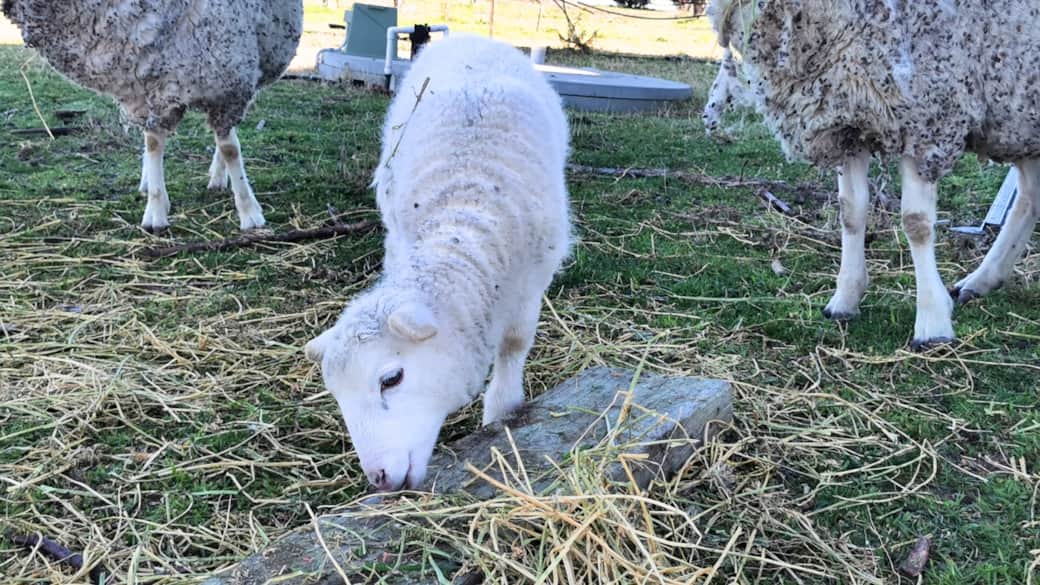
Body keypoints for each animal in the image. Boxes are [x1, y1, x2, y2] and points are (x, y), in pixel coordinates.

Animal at [2, 0, 303, 232]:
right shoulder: (147, 89)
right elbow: (153, 145)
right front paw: (156, 212)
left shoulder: (226, 85)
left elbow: (230, 150)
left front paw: (249, 213)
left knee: (224, 140)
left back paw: (218, 178)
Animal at [304, 35, 572, 492]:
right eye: (337, 395)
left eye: (391, 379)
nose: (378, 477)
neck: (466, 208)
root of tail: (472, 37)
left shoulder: (534, 277)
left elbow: (515, 342)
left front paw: (501, 410)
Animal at [707, 0, 1040, 348]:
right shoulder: (847, 116)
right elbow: (850, 212)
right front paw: (845, 299)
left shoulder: (925, 116)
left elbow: (916, 223)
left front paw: (932, 322)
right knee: (1030, 198)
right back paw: (982, 280)